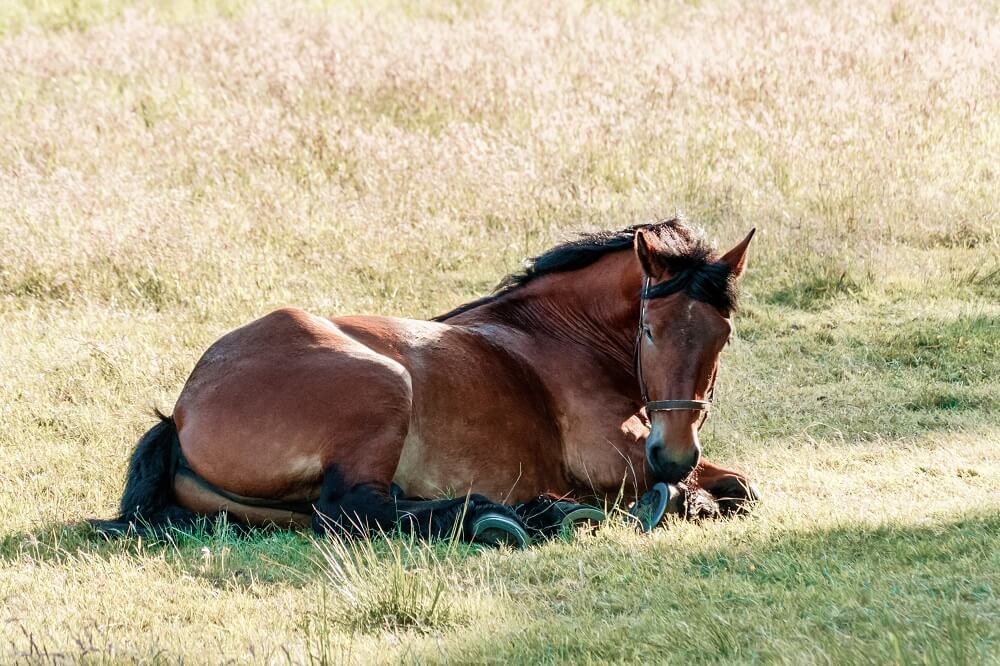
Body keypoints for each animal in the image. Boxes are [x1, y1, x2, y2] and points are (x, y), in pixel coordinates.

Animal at [95, 218, 764, 544]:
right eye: (649, 329)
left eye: (723, 335)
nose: (673, 454)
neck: (556, 333)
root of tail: (180, 415)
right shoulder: (619, 461)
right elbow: (718, 488)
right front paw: (681, 499)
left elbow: (739, 485)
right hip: (382, 386)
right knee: (353, 511)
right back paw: (511, 518)